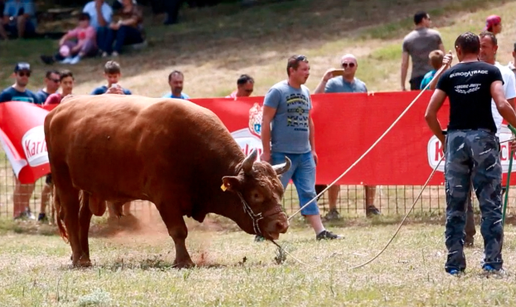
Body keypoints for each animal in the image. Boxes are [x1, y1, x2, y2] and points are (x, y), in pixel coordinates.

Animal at [44, 95, 292, 268]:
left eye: (280, 190)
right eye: (256, 194)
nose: (282, 224)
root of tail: (59, 109)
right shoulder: (166, 199)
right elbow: (178, 231)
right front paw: (184, 261)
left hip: (88, 188)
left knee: (83, 219)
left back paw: (84, 257)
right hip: (64, 181)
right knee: (71, 217)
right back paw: (79, 259)